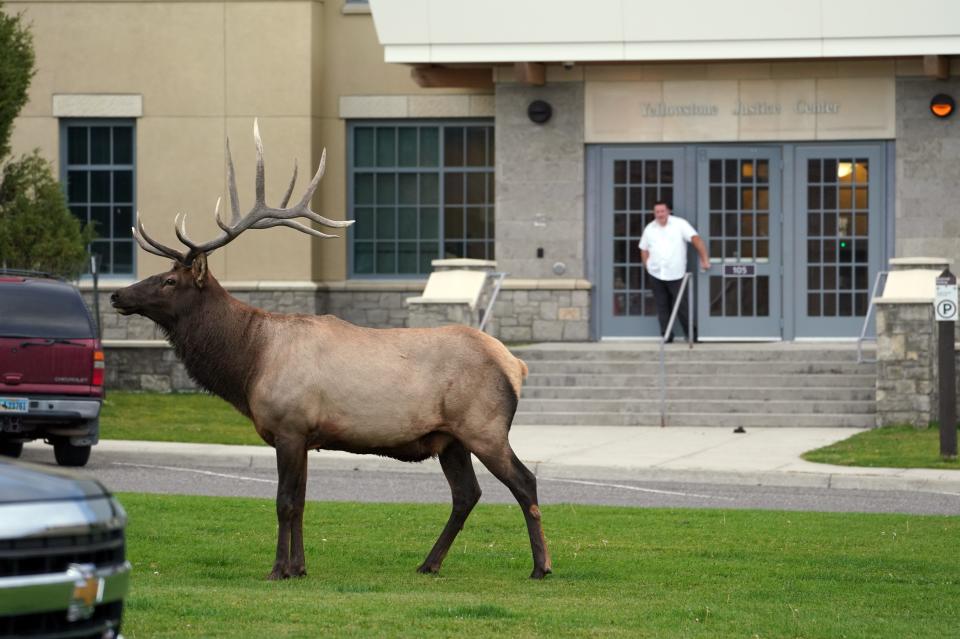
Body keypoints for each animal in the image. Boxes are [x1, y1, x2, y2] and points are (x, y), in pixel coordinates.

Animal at [111, 120, 552, 580]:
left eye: (169, 281)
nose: (117, 295)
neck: (249, 363)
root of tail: (516, 364)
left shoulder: (289, 426)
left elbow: (284, 503)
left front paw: (277, 570)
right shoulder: (306, 435)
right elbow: (302, 503)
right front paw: (300, 568)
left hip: (484, 426)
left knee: (524, 482)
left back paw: (541, 566)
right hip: (450, 438)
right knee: (467, 493)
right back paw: (428, 563)